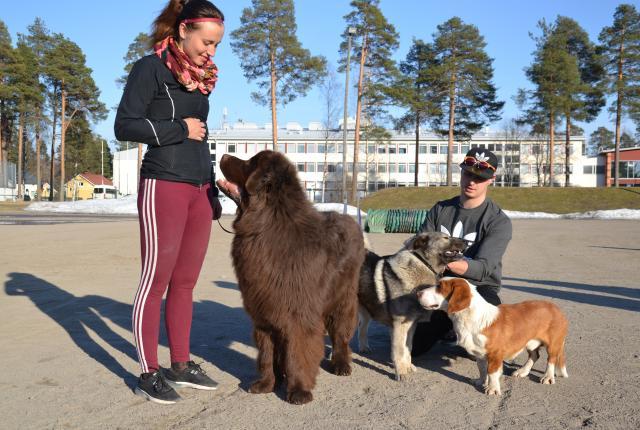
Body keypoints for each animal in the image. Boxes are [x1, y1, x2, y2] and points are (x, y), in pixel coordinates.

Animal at [218, 150, 364, 404]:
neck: (264, 226)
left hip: (343, 299)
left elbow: (298, 352)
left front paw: (299, 391)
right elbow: (267, 354)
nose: (224, 154)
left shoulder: (298, 314)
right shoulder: (264, 313)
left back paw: (341, 364)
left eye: (249, 163)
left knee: (341, 334)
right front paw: (267, 384)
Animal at [358, 232, 468, 380]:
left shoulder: (411, 325)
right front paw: (401, 372)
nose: (467, 242)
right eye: (446, 238)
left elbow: (408, 348)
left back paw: (364, 348)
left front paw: (408, 366)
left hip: (367, 310)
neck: (423, 264)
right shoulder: (400, 325)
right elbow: (399, 350)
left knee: (362, 327)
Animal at [418, 278, 568, 394]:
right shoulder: (479, 353)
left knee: (551, 360)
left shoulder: (495, 354)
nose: (418, 293)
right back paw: (522, 371)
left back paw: (548, 377)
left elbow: (492, 372)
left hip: (553, 344)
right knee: (535, 356)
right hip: (531, 342)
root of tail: (556, 308)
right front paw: (480, 381)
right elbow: (482, 369)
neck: (469, 317)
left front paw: (492, 389)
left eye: (440, 287)